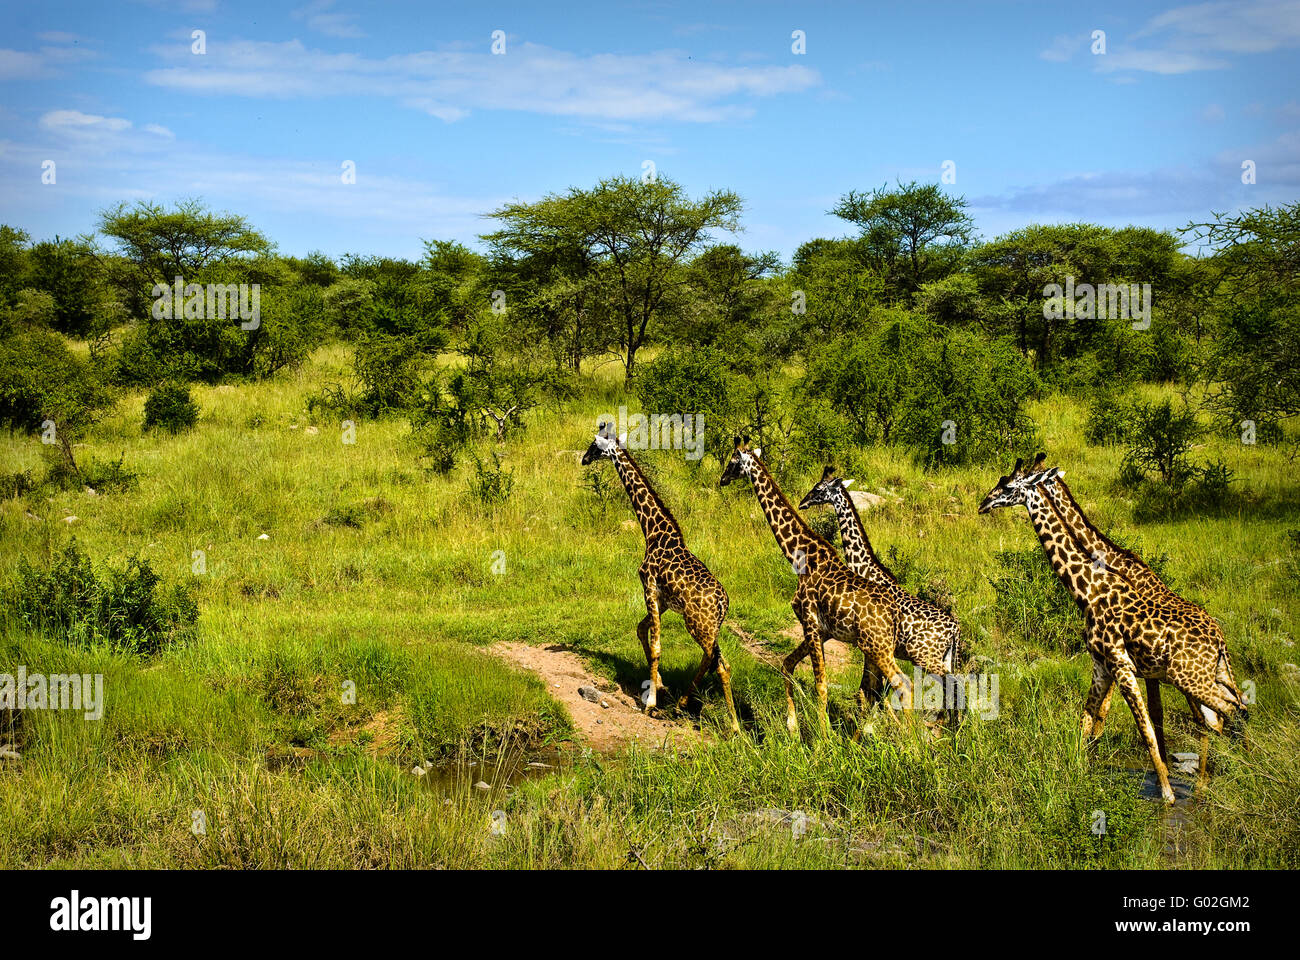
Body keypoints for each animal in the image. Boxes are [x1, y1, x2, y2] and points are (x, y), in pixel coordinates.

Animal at [582, 421, 738, 728]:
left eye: (595, 444)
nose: (583, 459)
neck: (653, 531)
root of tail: (723, 603)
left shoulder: (649, 589)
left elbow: (655, 647)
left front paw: (651, 703)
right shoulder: (664, 600)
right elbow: (642, 630)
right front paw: (661, 686)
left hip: (697, 625)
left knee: (718, 664)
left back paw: (726, 723)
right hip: (710, 627)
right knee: (716, 661)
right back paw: (691, 708)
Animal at [722, 437, 915, 728]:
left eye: (733, 460)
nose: (722, 478)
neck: (801, 557)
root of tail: (894, 614)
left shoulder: (810, 622)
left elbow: (821, 685)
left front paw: (824, 737)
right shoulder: (821, 630)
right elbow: (787, 665)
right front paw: (792, 726)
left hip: (876, 646)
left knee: (901, 685)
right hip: (877, 647)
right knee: (888, 689)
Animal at [790, 468, 967, 712]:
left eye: (818, 488)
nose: (803, 502)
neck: (863, 567)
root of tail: (955, 629)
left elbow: (870, 689)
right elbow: (873, 689)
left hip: (925, 657)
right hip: (945, 658)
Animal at [977, 455, 1248, 801]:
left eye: (1009, 486)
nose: (984, 503)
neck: (1090, 589)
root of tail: (1219, 639)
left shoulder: (1123, 666)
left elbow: (1147, 726)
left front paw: (1166, 793)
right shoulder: (1103, 666)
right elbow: (1089, 718)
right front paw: (1080, 769)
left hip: (1187, 678)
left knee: (1225, 714)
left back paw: (1228, 778)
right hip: (1214, 674)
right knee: (1228, 712)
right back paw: (1230, 774)